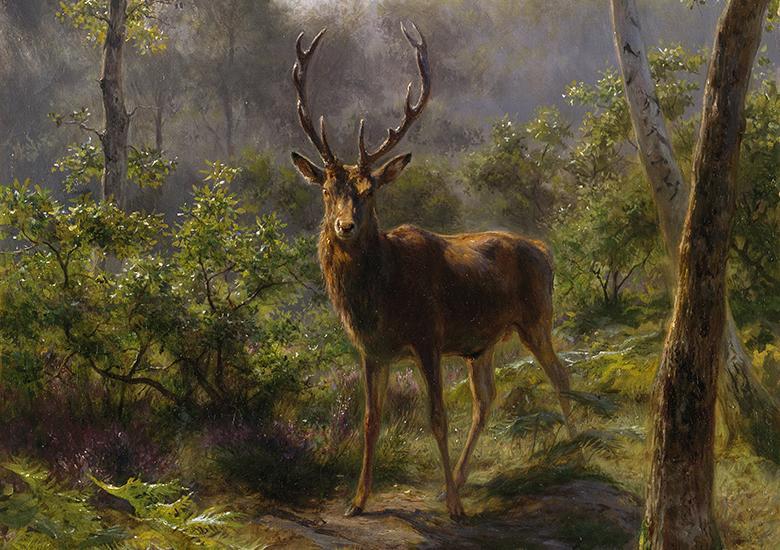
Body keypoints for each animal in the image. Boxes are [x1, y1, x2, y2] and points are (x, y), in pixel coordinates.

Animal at [290, 22, 574, 521]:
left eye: (370, 190)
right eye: (327, 189)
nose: (344, 226)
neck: (379, 300)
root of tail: (544, 250)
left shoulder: (428, 337)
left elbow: (437, 418)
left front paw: (457, 510)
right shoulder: (372, 351)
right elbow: (370, 420)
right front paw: (357, 501)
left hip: (537, 319)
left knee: (560, 376)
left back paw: (580, 447)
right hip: (481, 346)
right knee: (486, 400)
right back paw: (456, 480)